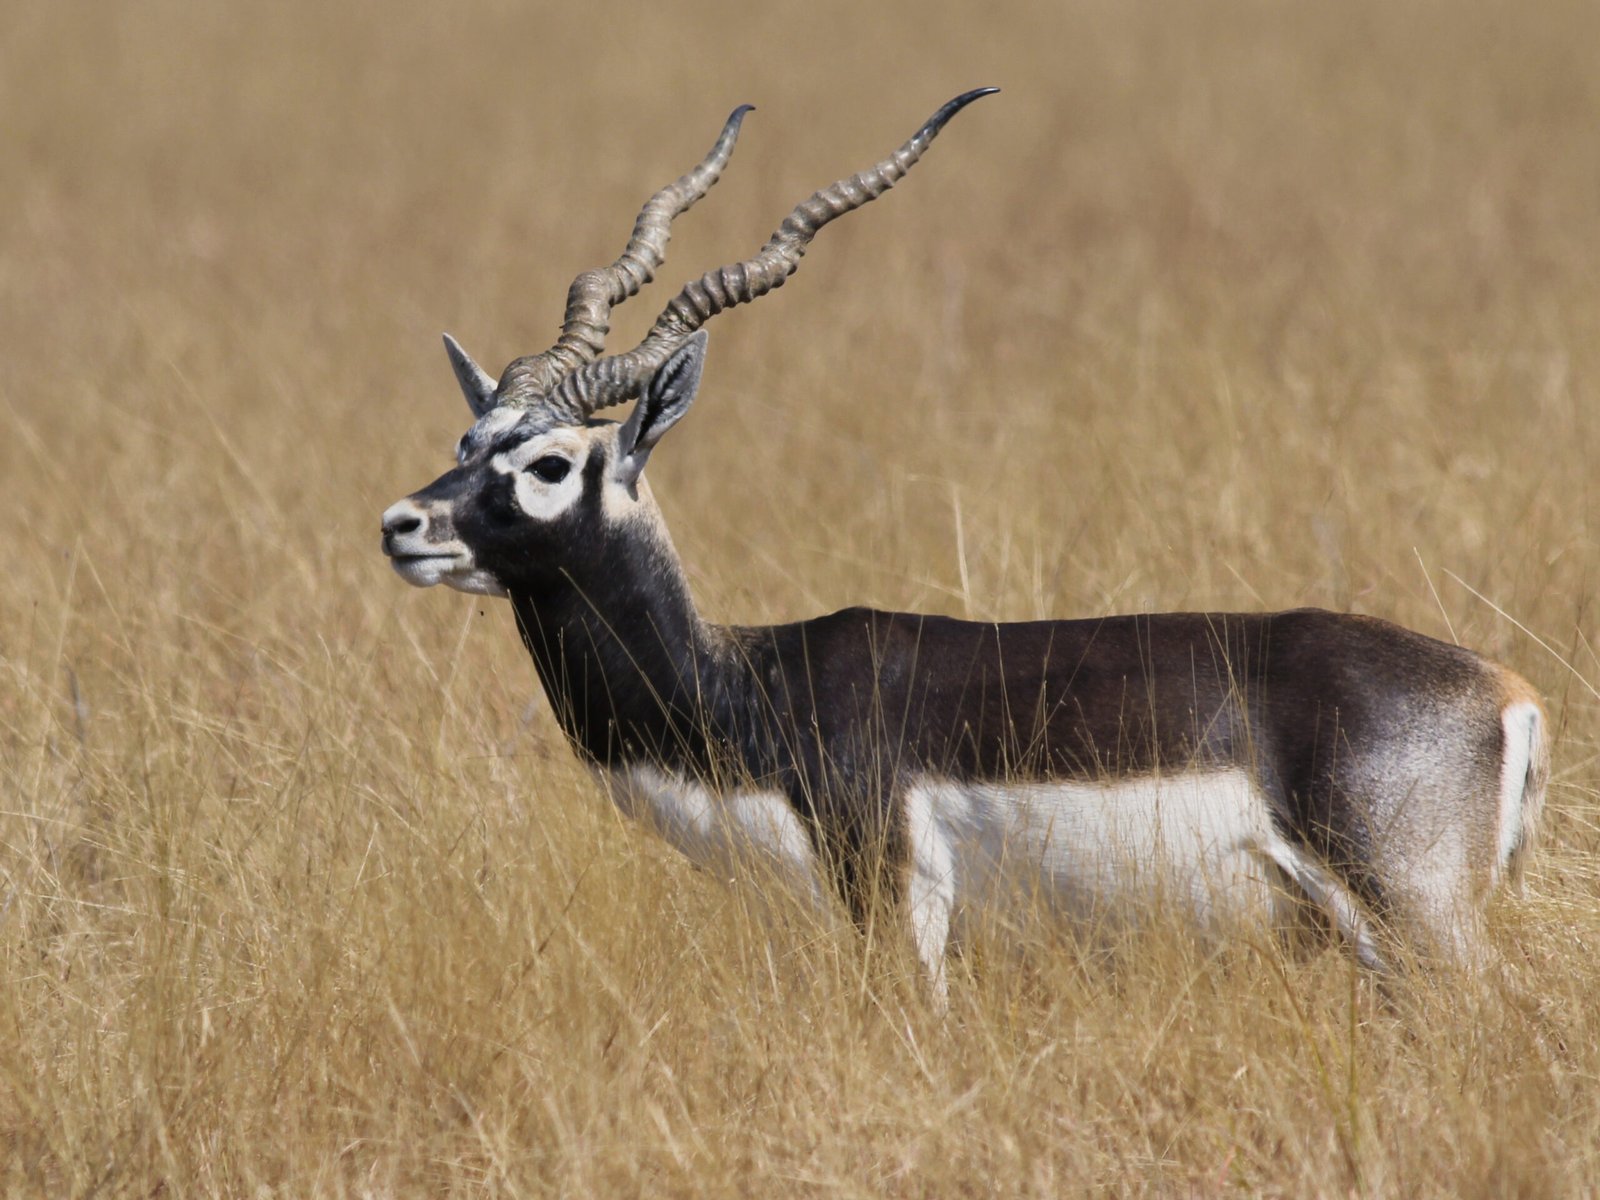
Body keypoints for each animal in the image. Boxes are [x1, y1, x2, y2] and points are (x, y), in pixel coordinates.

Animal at [377, 89, 1548, 998]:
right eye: (468, 440)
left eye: (549, 463)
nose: (404, 525)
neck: (750, 686)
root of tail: (1507, 693)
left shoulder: (899, 905)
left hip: (1414, 921)